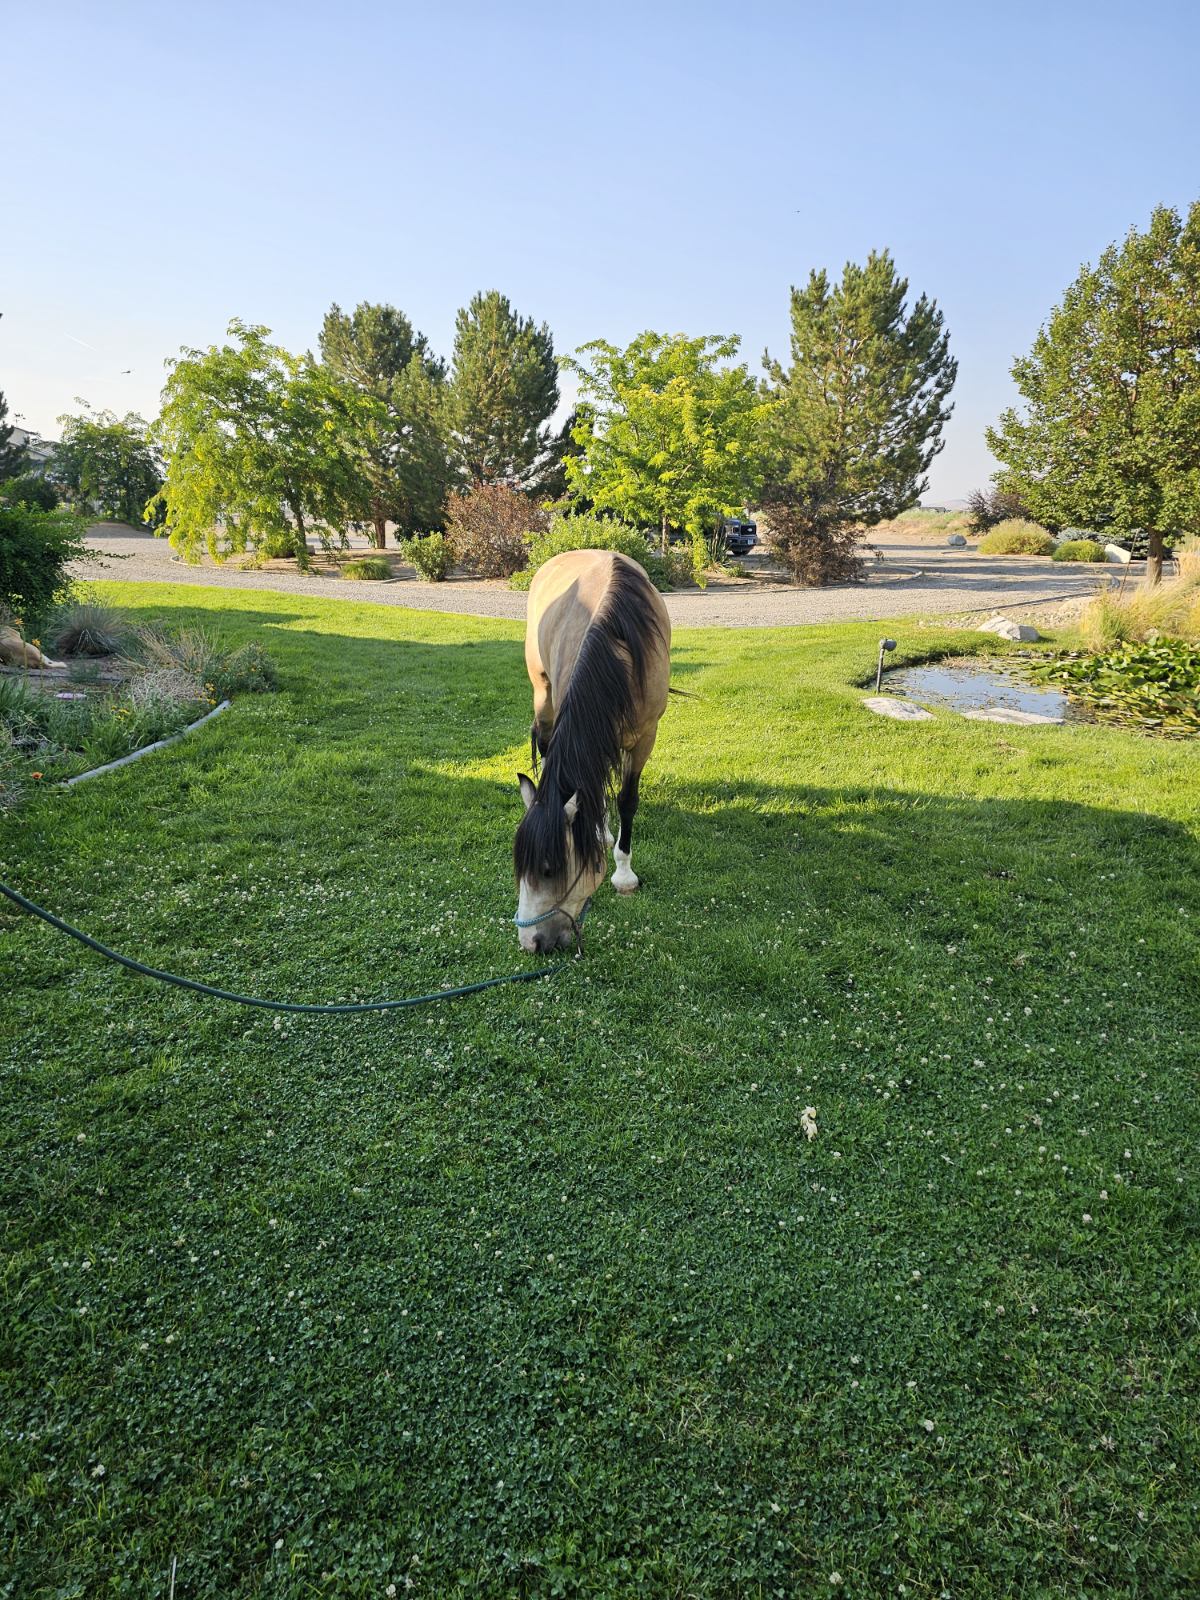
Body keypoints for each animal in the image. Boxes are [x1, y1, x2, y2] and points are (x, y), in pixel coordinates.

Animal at [513, 549, 671, 953]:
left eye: (550, 870)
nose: (530, 942)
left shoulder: (645, 737)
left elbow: (626, 800)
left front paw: (624, 875)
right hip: (543, 694)